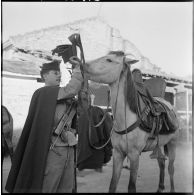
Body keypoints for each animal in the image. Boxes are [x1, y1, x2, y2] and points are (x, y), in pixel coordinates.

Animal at [83, 50, 179, 192]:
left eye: (109, 60)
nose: (82, 64)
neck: (126, 119)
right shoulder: (118, 154)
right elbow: (113, 184)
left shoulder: (134, 155)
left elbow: (131, 187)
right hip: (158, 144)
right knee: (161, 161)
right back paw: (160, 187)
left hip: (172, 143)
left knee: (171, 168)